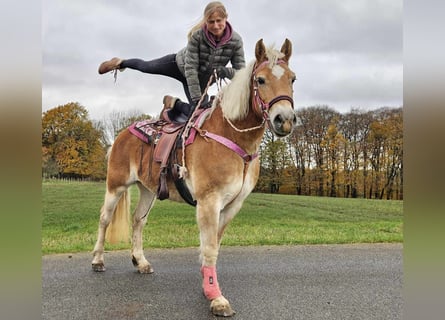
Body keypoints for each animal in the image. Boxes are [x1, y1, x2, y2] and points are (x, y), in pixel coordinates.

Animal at [91, 38, 296, 316]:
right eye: (261, 80)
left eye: (293, 79)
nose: (284, 120)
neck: (231, 137)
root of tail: (122, 134)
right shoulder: (209, 202)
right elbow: (209, 247)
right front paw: (216, 297)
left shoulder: (232, 205)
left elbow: (215, 245)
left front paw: (208, 286)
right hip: (116, 185)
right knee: (105, 219)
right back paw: (97, 259)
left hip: (148, 190)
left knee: (138, 221)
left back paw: (140, 261)